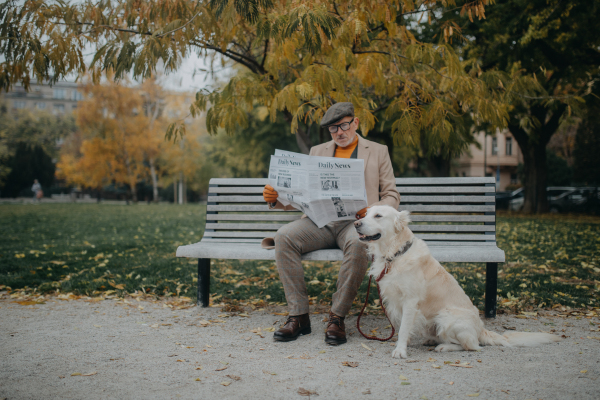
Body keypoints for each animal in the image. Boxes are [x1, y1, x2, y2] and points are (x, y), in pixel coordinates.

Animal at [354, 206, 560, 360]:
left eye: (378, 216)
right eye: (365, 214)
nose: (356, 223)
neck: (395, 253)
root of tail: (481, 329)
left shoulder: (410, 301)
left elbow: (404, 327)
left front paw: (400, 350)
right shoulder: (394, 301)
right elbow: (401, 326)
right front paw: (402, 343)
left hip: (446, 318)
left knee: (472, 346)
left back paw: (444, 347)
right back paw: (433, 341)